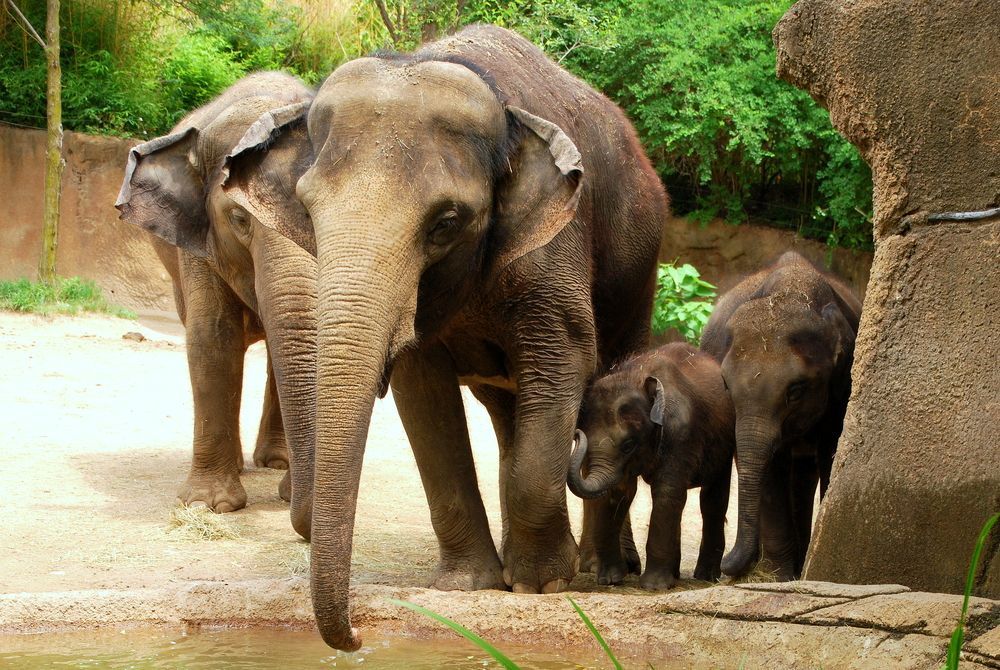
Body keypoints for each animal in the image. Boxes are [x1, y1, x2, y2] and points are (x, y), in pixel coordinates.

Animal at [224, 25, 668, 649]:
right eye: (307, 211)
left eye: (446, 223)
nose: (357, 637)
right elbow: (424, 393)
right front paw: (470, 585)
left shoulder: (556, 250)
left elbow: (562, 361)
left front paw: (544, 585)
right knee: (508, 415)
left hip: (638, 267)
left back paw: (604, 570)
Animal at [568, 342, 735, 590]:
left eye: (629, 445)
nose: (577, 435)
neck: (636, 376)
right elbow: (618, 493)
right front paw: (610, 580)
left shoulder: (680, 434)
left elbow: (665, 492)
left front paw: (653, 587)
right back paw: (675, 576)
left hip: (725, 443)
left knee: (712, 498)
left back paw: (705, 576)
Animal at [700, 251, 861, 580]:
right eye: (725, 384)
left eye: (796, 390)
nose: (727, 567)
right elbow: (771, 469)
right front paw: (779, 576)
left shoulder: (842, 387)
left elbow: (830, 453)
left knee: (805, 473)